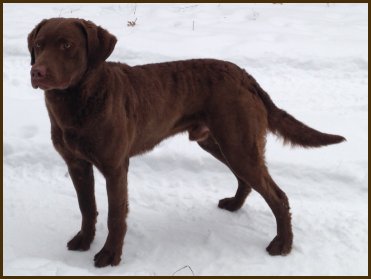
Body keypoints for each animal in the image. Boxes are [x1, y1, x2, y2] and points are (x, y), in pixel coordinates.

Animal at [26, 18, 346, 268]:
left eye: (66, 45)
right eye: (39, 45)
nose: (37, 71)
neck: (77, 101)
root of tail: (245, 76)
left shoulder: (115, 166)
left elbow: (115, 215)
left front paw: (110, 256)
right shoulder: (77, 164)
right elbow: (86, 206)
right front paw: (83, 240)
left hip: (238, 143)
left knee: (278, 196)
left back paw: (283, 245)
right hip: (219, 142)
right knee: (246, 180)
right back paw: (234, 205)